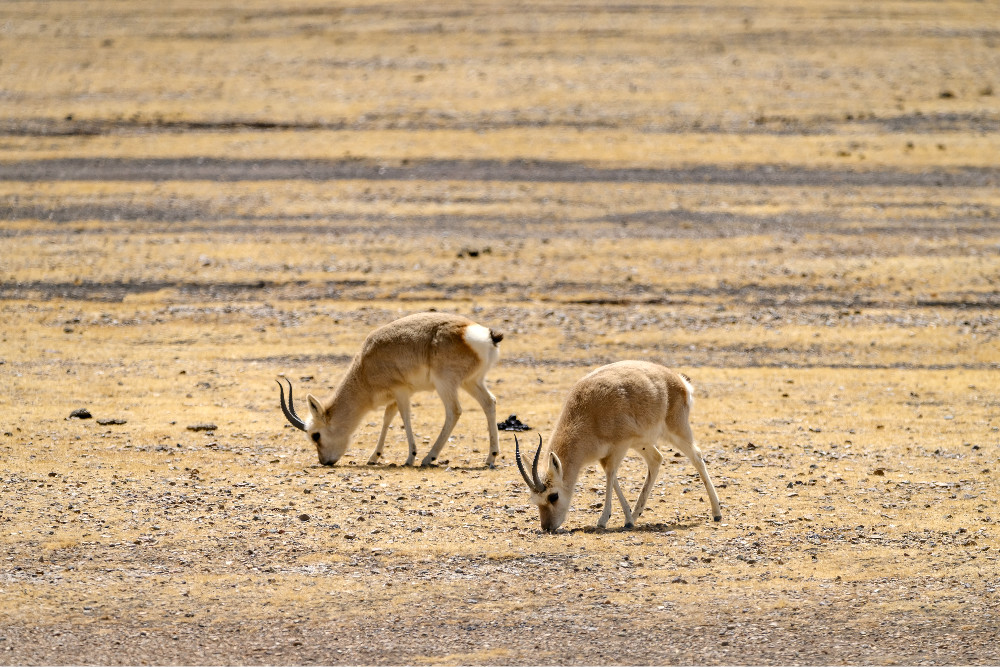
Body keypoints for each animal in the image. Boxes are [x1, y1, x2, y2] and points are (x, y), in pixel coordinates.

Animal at [278, 316, 504, 468]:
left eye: (315, 435)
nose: (324, 461)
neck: (365, 365)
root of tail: (485, 335)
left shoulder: (401, 391)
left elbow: (405, 417)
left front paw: (410, 456)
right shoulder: (394, 397)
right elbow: (387, 418)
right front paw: (374, 457)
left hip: (445, 383)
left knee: (454, 411)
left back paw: (428, 458)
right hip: (471, 382)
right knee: (489, 403)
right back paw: (490, 457)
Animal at [520, 360, 724, 532]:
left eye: (553, 496)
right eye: (535, 500)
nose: (547, 527)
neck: (588, 413)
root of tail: (678, 379)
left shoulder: (620, 446)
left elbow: (611, 474)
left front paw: (604, 520)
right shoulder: (607, 454)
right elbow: (612, 476)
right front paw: (628, 519)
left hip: (677, 432)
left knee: (697, 456)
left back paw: (717, 513)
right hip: (642, 443)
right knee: (656, 459)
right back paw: (636, 513)